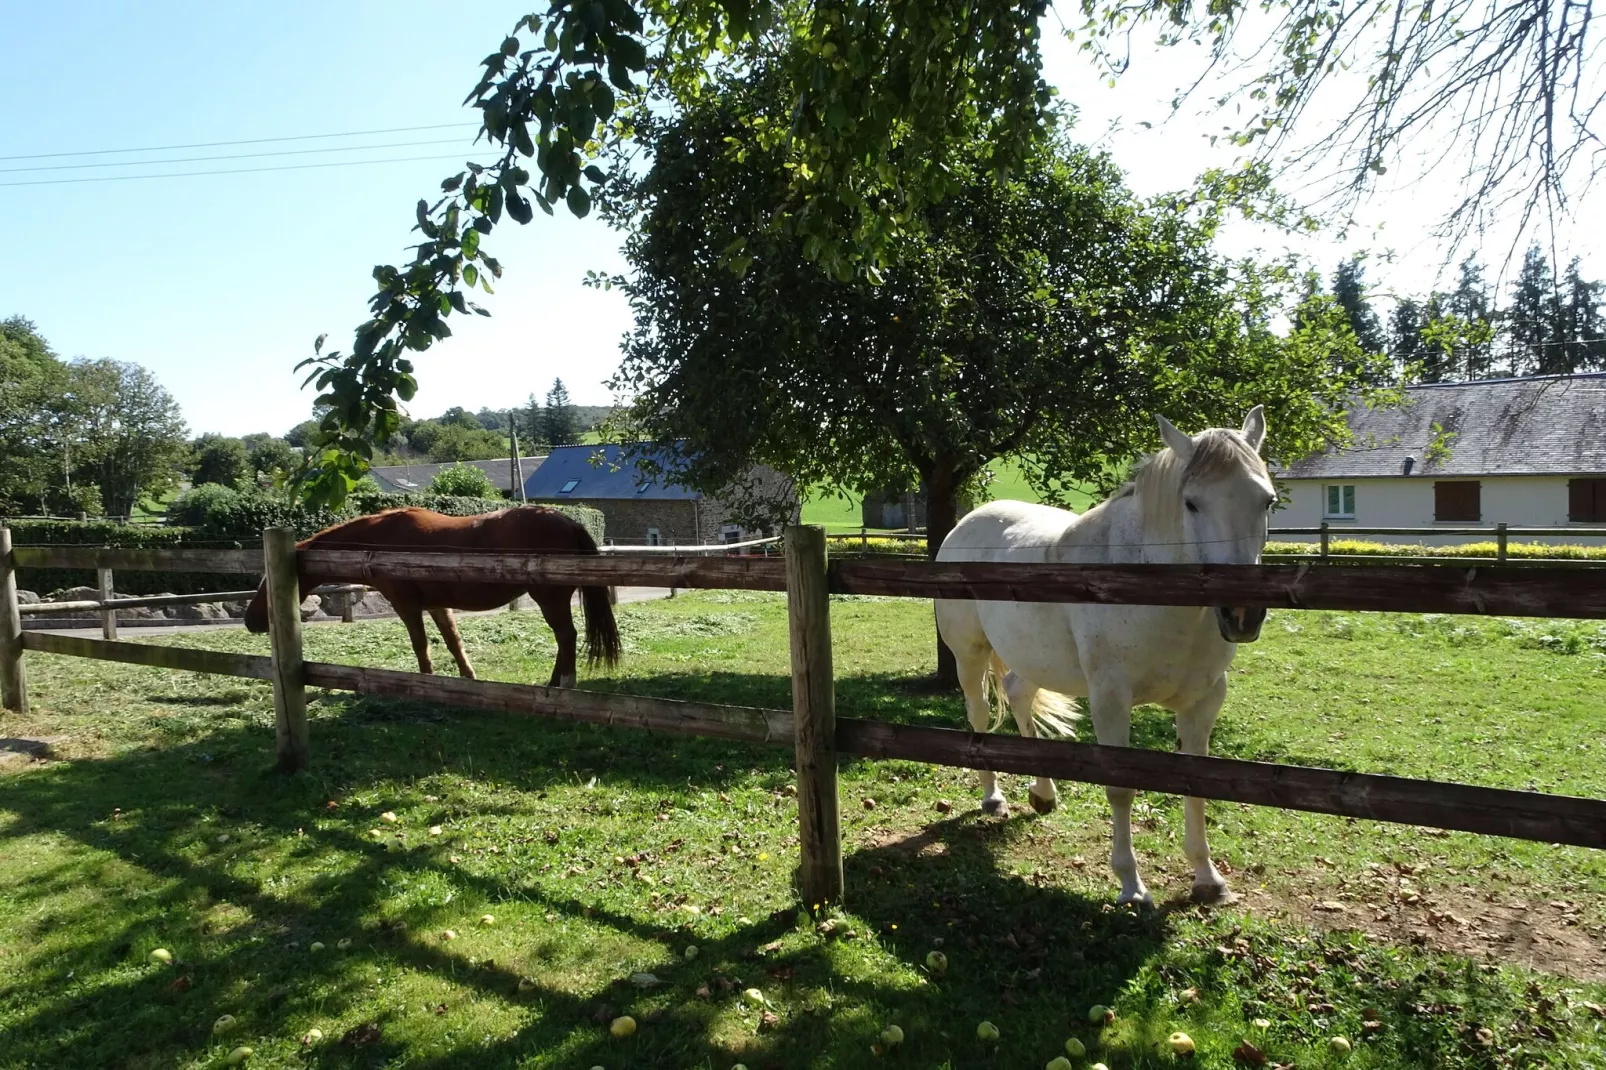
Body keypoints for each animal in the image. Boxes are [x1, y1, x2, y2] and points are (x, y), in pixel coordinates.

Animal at [244, 501, 619, 684]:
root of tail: (567, 521)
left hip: (550, 598)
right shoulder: (439, 606)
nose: (250, 621)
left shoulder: (407, 606)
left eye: (265, 585)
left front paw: (428, 683)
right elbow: (454, 643)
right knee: (563, 639)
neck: (382, 539)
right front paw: (468, 679)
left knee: (566, 637)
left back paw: (563, 684)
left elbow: (421, 646)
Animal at [937, 406, 1271, 899]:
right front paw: (1132, 885)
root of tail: (967, 522)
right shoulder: (1111, 700)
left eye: (1266, 500)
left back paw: (1043, 793)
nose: (1242, 614)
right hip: (970, 655)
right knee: (979, 715)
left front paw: (1208, 879)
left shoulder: (1204, 701)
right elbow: (1121, 789)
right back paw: (993, 797)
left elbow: (1197, 785)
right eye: (1192, 503)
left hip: (1034, 657)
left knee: (1018, 694)